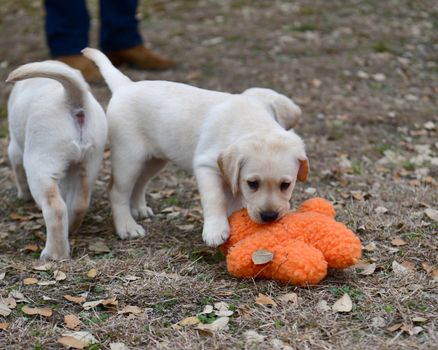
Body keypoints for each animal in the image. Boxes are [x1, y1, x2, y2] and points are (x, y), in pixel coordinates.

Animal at [6, 61, 107, 262]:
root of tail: (71, 97)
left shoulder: (15, 149)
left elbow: (18, 173)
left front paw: (23, 195)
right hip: (89, 164)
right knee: (79, 202)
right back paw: (72, 228)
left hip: (40, 165)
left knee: (55, 208)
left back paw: (54, 254)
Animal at [82, 47, 308, 247]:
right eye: (252, 183)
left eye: (286, 185)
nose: (269, 216)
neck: (253, 123)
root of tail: (125, 85)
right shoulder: (206, 165)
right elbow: (215, 198)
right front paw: (215, 230)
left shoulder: (231, 176)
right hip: (128, 158)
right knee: (117, 191)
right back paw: (127, 227)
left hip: (154, 160)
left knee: (140, 183)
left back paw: (139, 209)